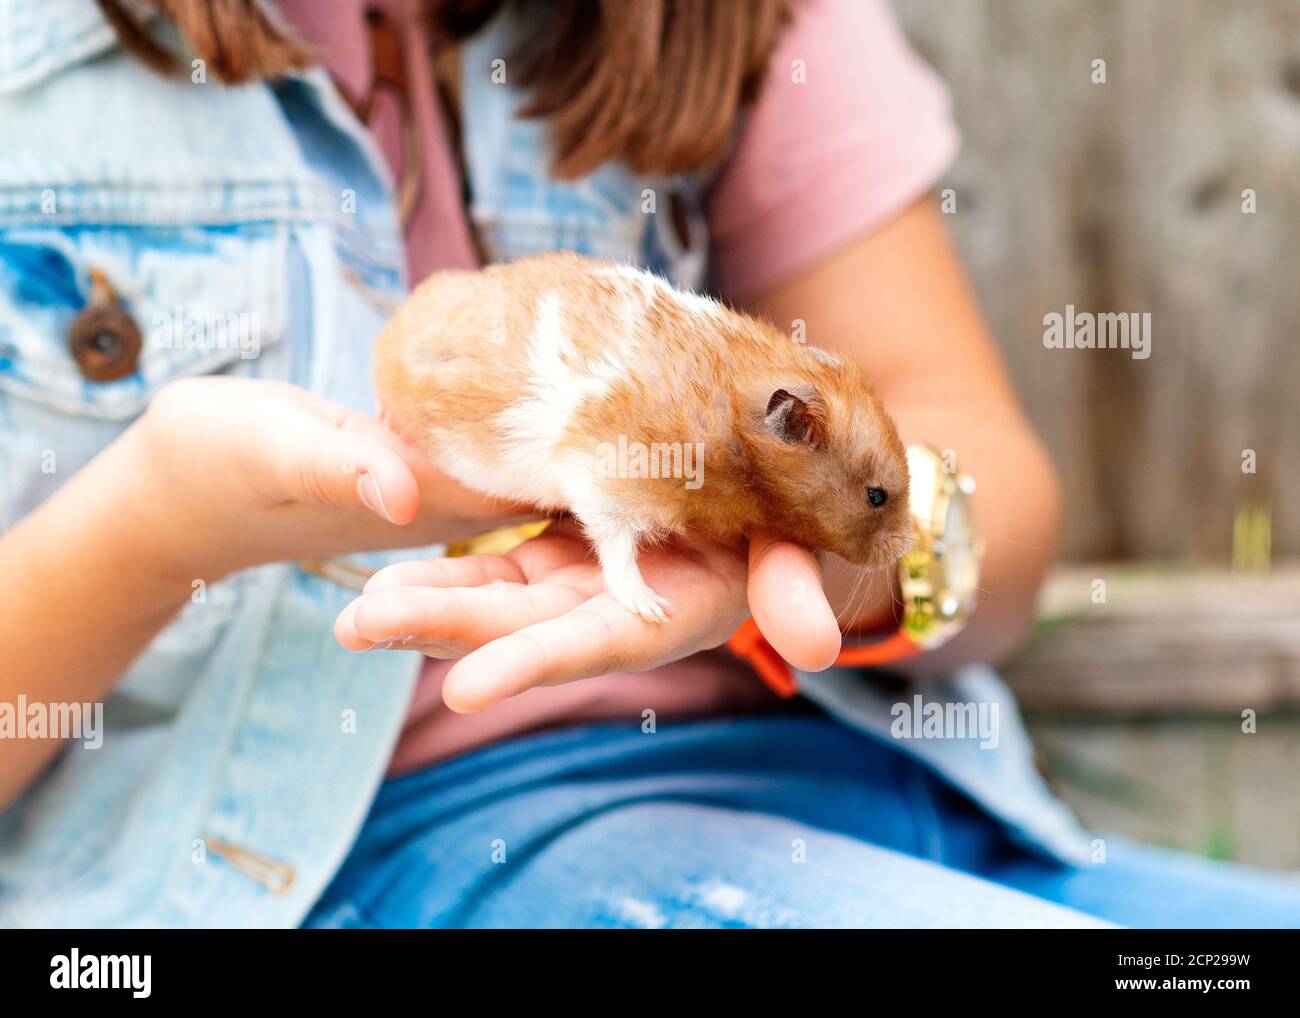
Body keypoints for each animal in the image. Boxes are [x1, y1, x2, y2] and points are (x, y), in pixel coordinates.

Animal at [371, 250, 909, 624]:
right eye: (876, 496)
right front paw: (653, 608)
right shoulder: (605, 475)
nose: (905, 549)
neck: (729, 417)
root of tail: (395, 324)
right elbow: (616, 549)